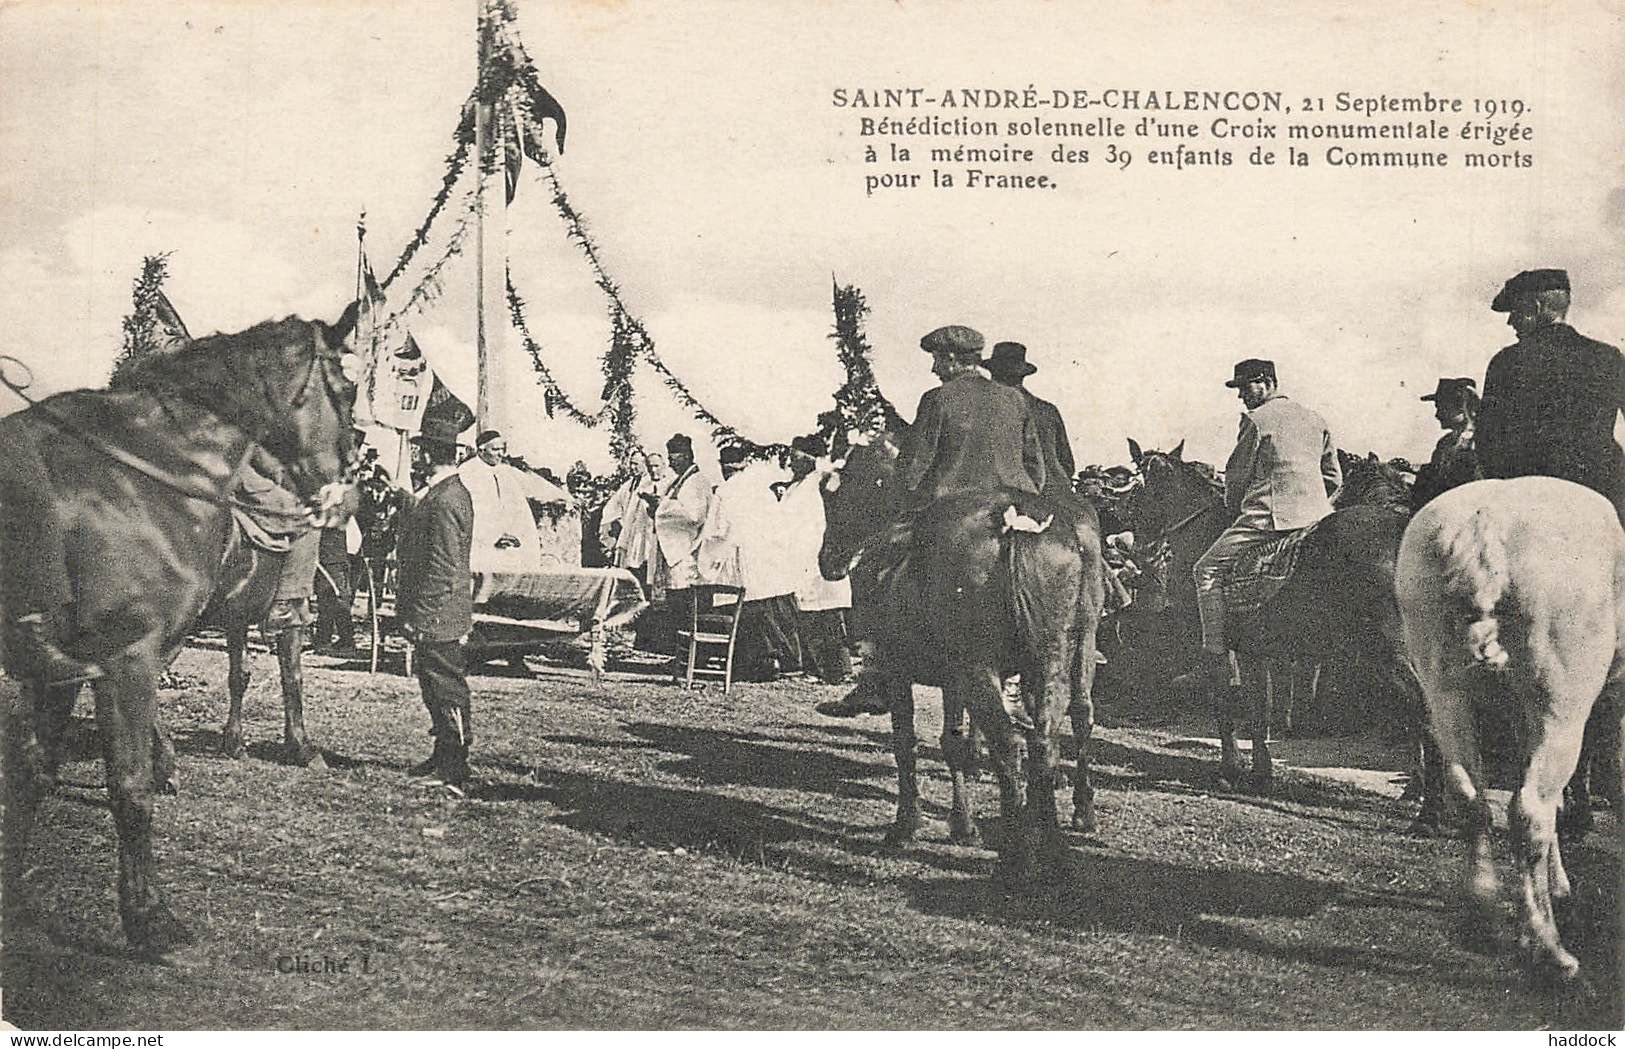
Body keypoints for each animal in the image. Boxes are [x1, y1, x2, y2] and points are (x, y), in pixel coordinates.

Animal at [0, 316, 355, 954]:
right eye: (346, 386)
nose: (345, 488)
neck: (143, 478)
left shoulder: (70, 668)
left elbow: (33, 772)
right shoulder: (130, 654)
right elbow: (130, 785)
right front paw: (149, 917)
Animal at [812, 428, 1105, 876]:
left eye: (838, 494)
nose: (827, 561)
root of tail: (1012, 520)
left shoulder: (898, 667)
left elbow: (907, 742)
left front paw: (907, 825)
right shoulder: (954, 678)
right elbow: (956, 744)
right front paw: (963, 825)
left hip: (980, 665)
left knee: (1009, 742)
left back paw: (1017, 855)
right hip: (1059, 652)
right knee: (1055, 734)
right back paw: (1059, 839)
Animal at [1124, 438, 1430, 798]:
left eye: (1139, 491)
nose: (1141, 550)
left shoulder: (1217, 648)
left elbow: (1225, 704)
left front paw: (1230, 769)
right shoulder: (1254, 651)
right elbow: (1260, 708)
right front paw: (1261, 772)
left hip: (1387, 650)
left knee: (1422, 707)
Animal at [1384, 477, 1625, 987]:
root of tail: (1484, 529)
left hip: (1445, 693)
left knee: (1470, 796)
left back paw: (1484, 917)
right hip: (1561, 702)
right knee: (1530, 809)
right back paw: (1551, 951)